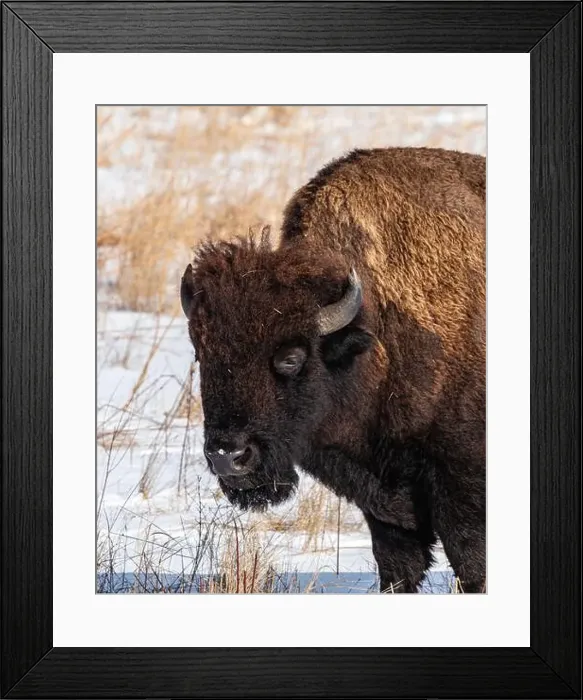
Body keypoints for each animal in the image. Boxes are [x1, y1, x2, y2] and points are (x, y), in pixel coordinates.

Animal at [181, 147, 486, 593]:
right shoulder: (386, 506)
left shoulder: (461, 489)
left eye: (291, 357)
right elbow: (397, 567)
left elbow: (471, 565)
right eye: (202, 355)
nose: (228, 457)